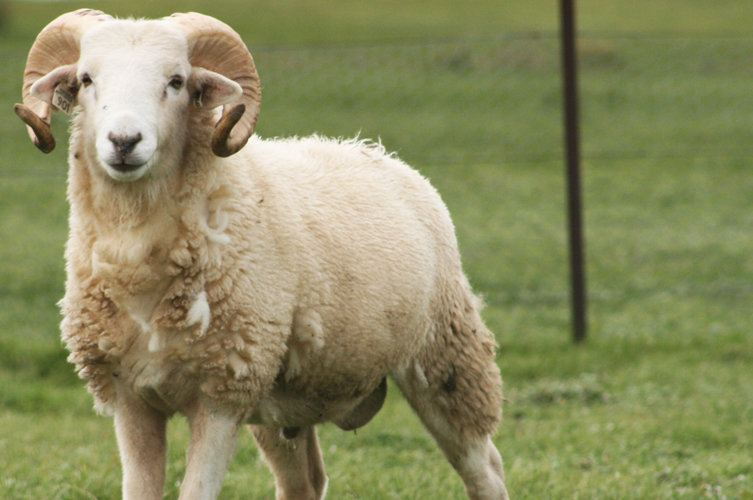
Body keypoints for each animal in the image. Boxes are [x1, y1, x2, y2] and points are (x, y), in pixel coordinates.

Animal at [15, 9, 509, 500]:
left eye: (176, 81)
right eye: (86, 78)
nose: (123, 141)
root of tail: (373, 151)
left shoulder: (221, 397)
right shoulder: (132, 398)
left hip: (445, 359)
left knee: (486, 468)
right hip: (283, 403)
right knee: (306, 483)